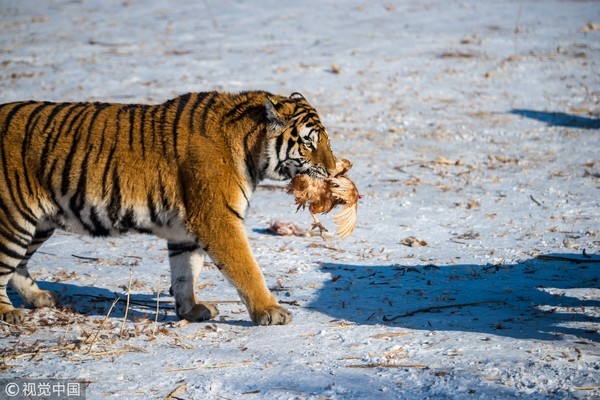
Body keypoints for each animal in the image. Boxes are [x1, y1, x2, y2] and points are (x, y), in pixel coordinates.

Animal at [0, 92, 338, 326]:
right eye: (309, 143)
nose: (334, 169)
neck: (249, 149)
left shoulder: (184, 232)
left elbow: (185, 274)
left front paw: (191, 309)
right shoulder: (218, 219)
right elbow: (246, 268)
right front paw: (270, 310)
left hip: (39, 222)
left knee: (18, 266)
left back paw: (40, 298)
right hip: (13, 220)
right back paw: (9, 313)